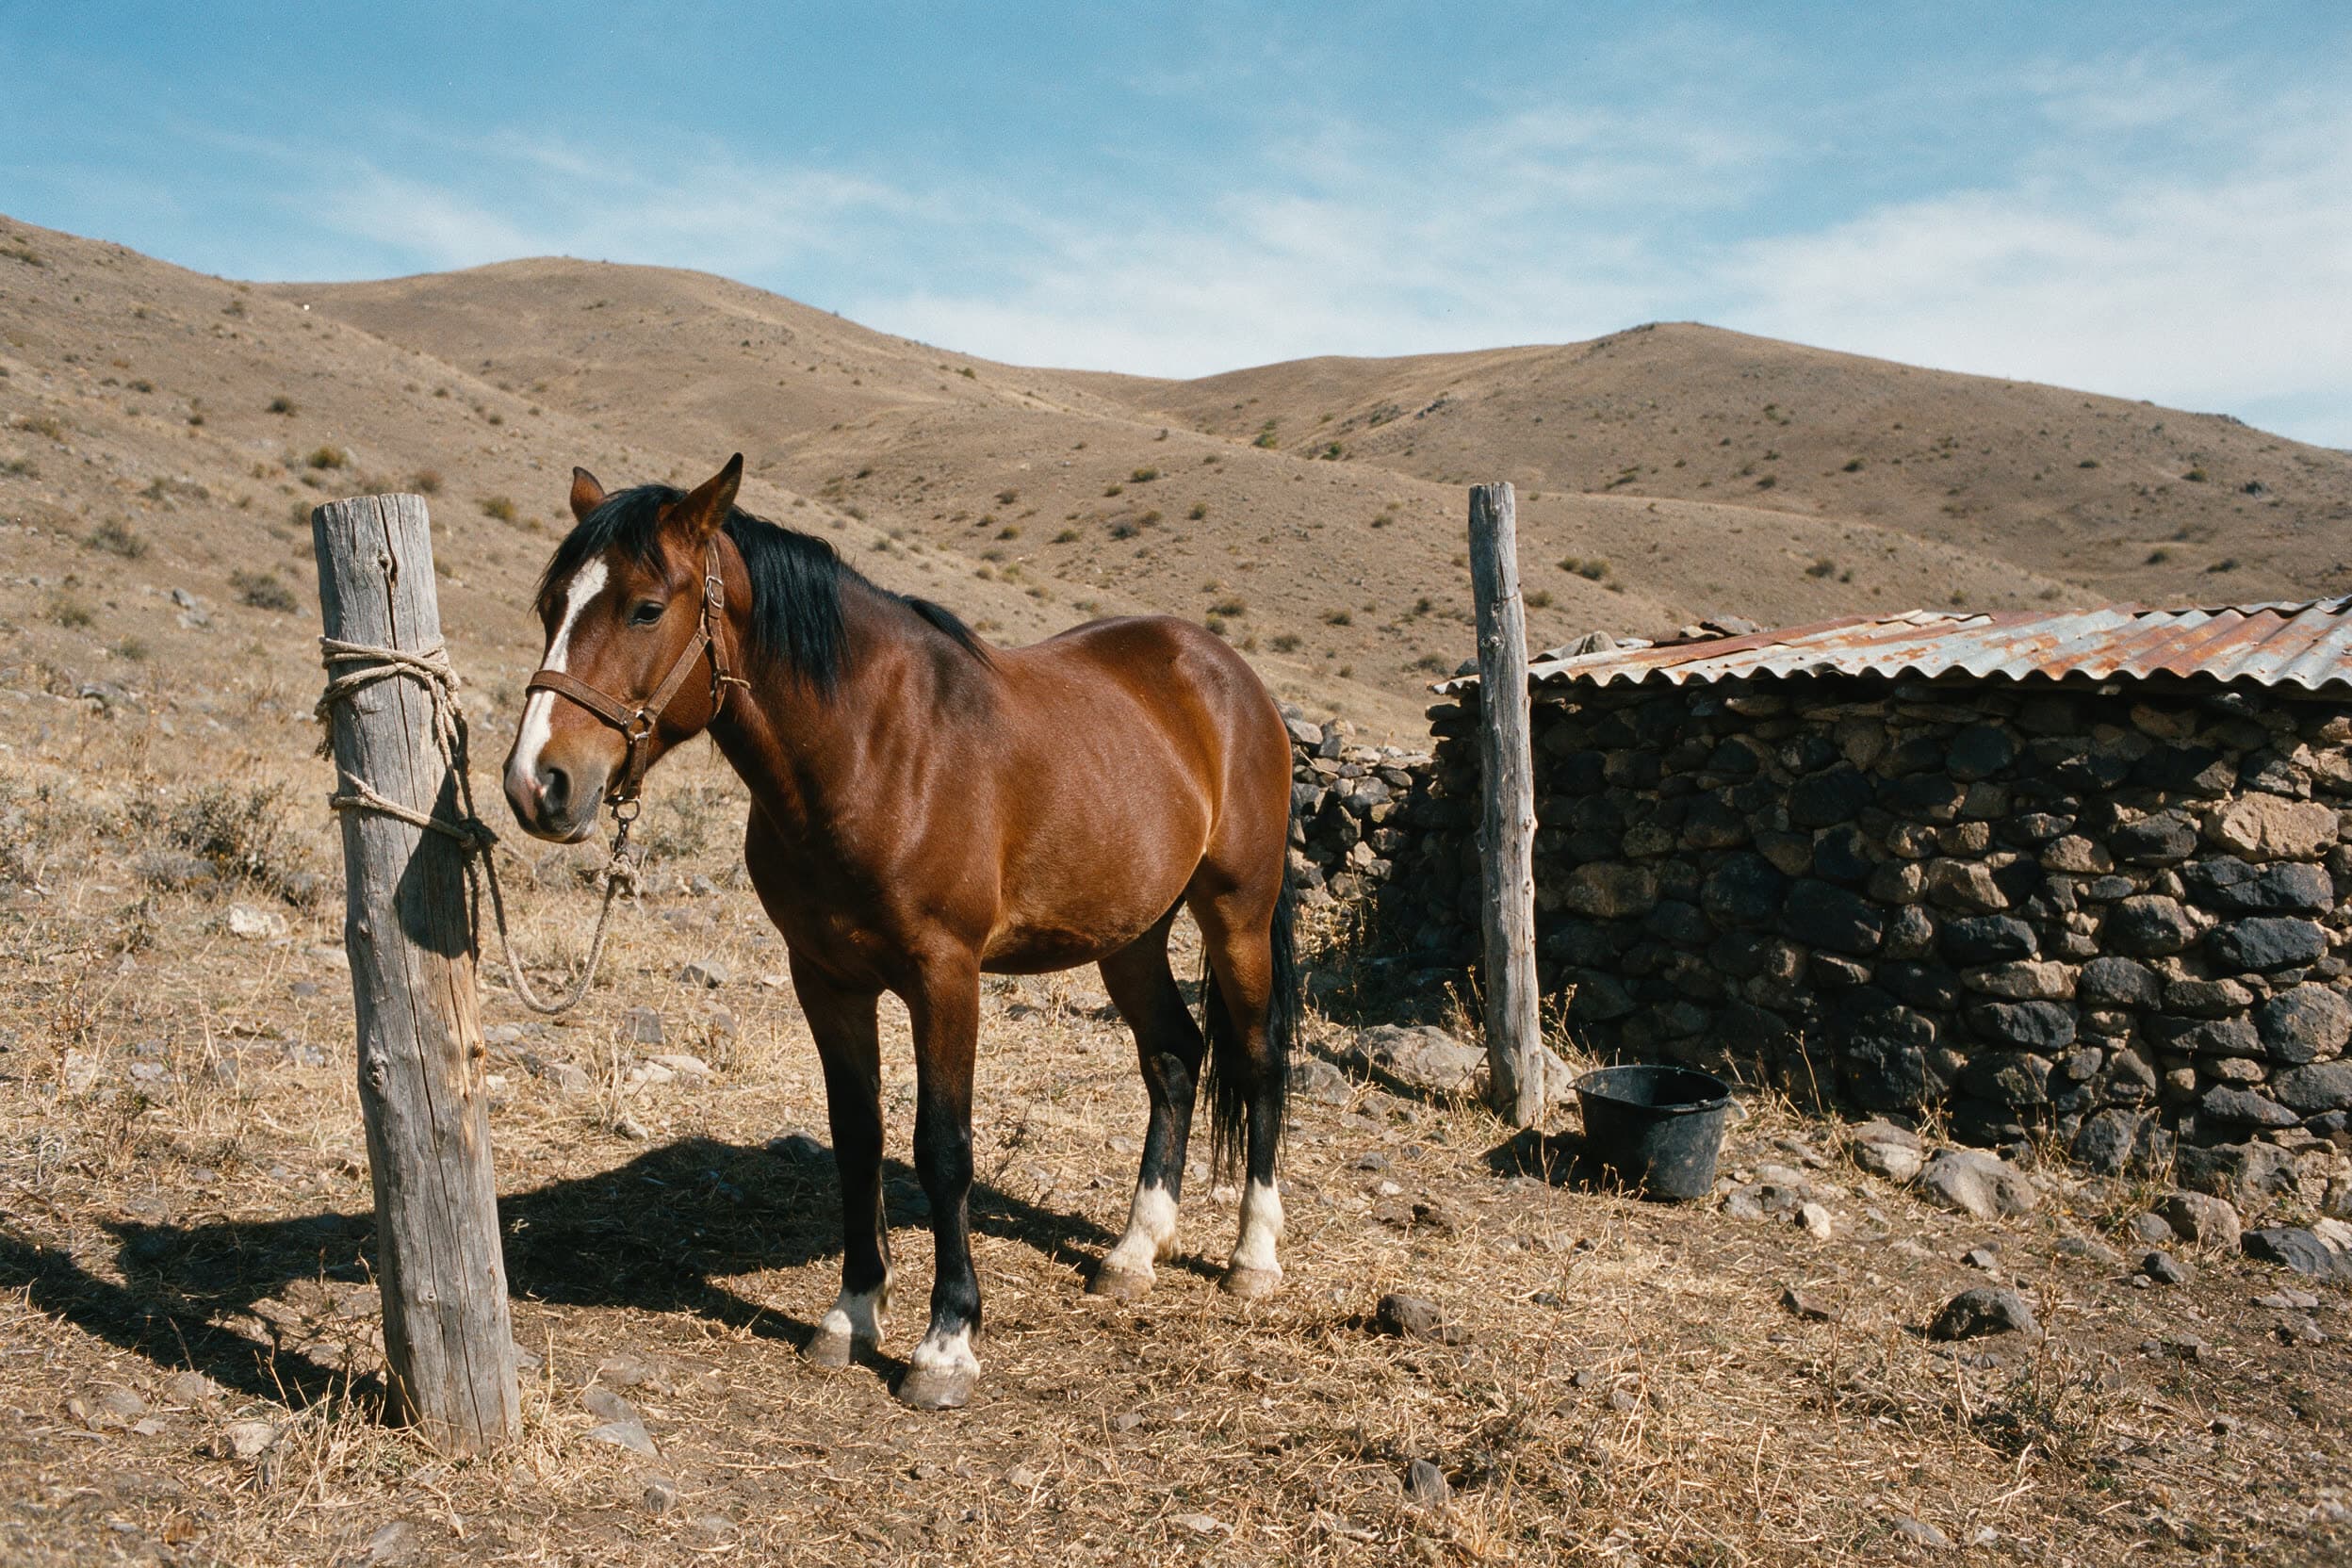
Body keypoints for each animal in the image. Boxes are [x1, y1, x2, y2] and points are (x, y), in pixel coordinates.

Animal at [501, 455, 1299, 1409]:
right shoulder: (825, 978)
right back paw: (1133, 1253)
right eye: (551, 606)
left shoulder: (943, 975)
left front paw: (946, 1343)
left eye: (646, 609)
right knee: (1175, 1057)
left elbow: (942, 1148)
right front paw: (851, 1313)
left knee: (1256, 1060)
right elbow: (858, 1137)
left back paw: (1253, 1258)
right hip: (1131, 933)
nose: (536, 784)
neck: (875, 751)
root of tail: (1226, 672)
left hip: (1236, 913)